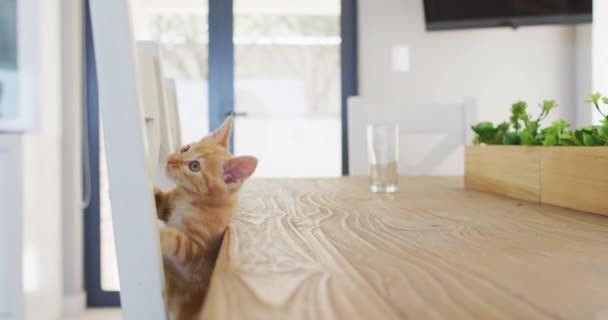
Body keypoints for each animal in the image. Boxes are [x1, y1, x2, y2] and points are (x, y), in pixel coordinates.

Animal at [154, 117, 256, 320]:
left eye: (194, 166)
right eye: (185, 148)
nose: (170, 160)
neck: (189, 200)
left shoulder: (198, 254)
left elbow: (177, 239)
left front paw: (159, 235)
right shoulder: (168, 203)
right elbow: (160, 200)